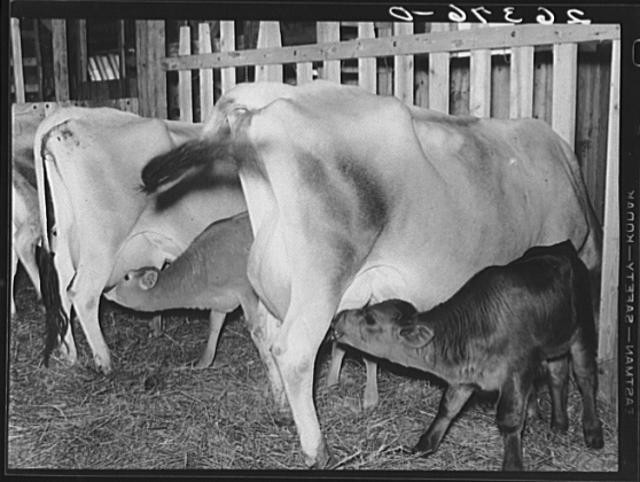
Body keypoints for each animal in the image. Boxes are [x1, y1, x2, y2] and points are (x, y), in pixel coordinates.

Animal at [34, 106, 247, 374]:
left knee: (62, 284)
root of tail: (70, 119)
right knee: (82, 293)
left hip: (67, 234)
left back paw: (70, 354)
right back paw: (104, 361)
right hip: (102, 243)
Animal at [332, 241, 604, 471]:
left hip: (582, 330)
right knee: (558, 375)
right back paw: (558, 425)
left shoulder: (518, 371)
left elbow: (509, 420)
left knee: (585, 377)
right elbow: (447, 408)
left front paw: (513, 465)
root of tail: (562, 247)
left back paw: (592, 432)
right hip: (556, 341)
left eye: (370, 318)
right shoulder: (464, 378)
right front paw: (421, 447)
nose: (337, 318)